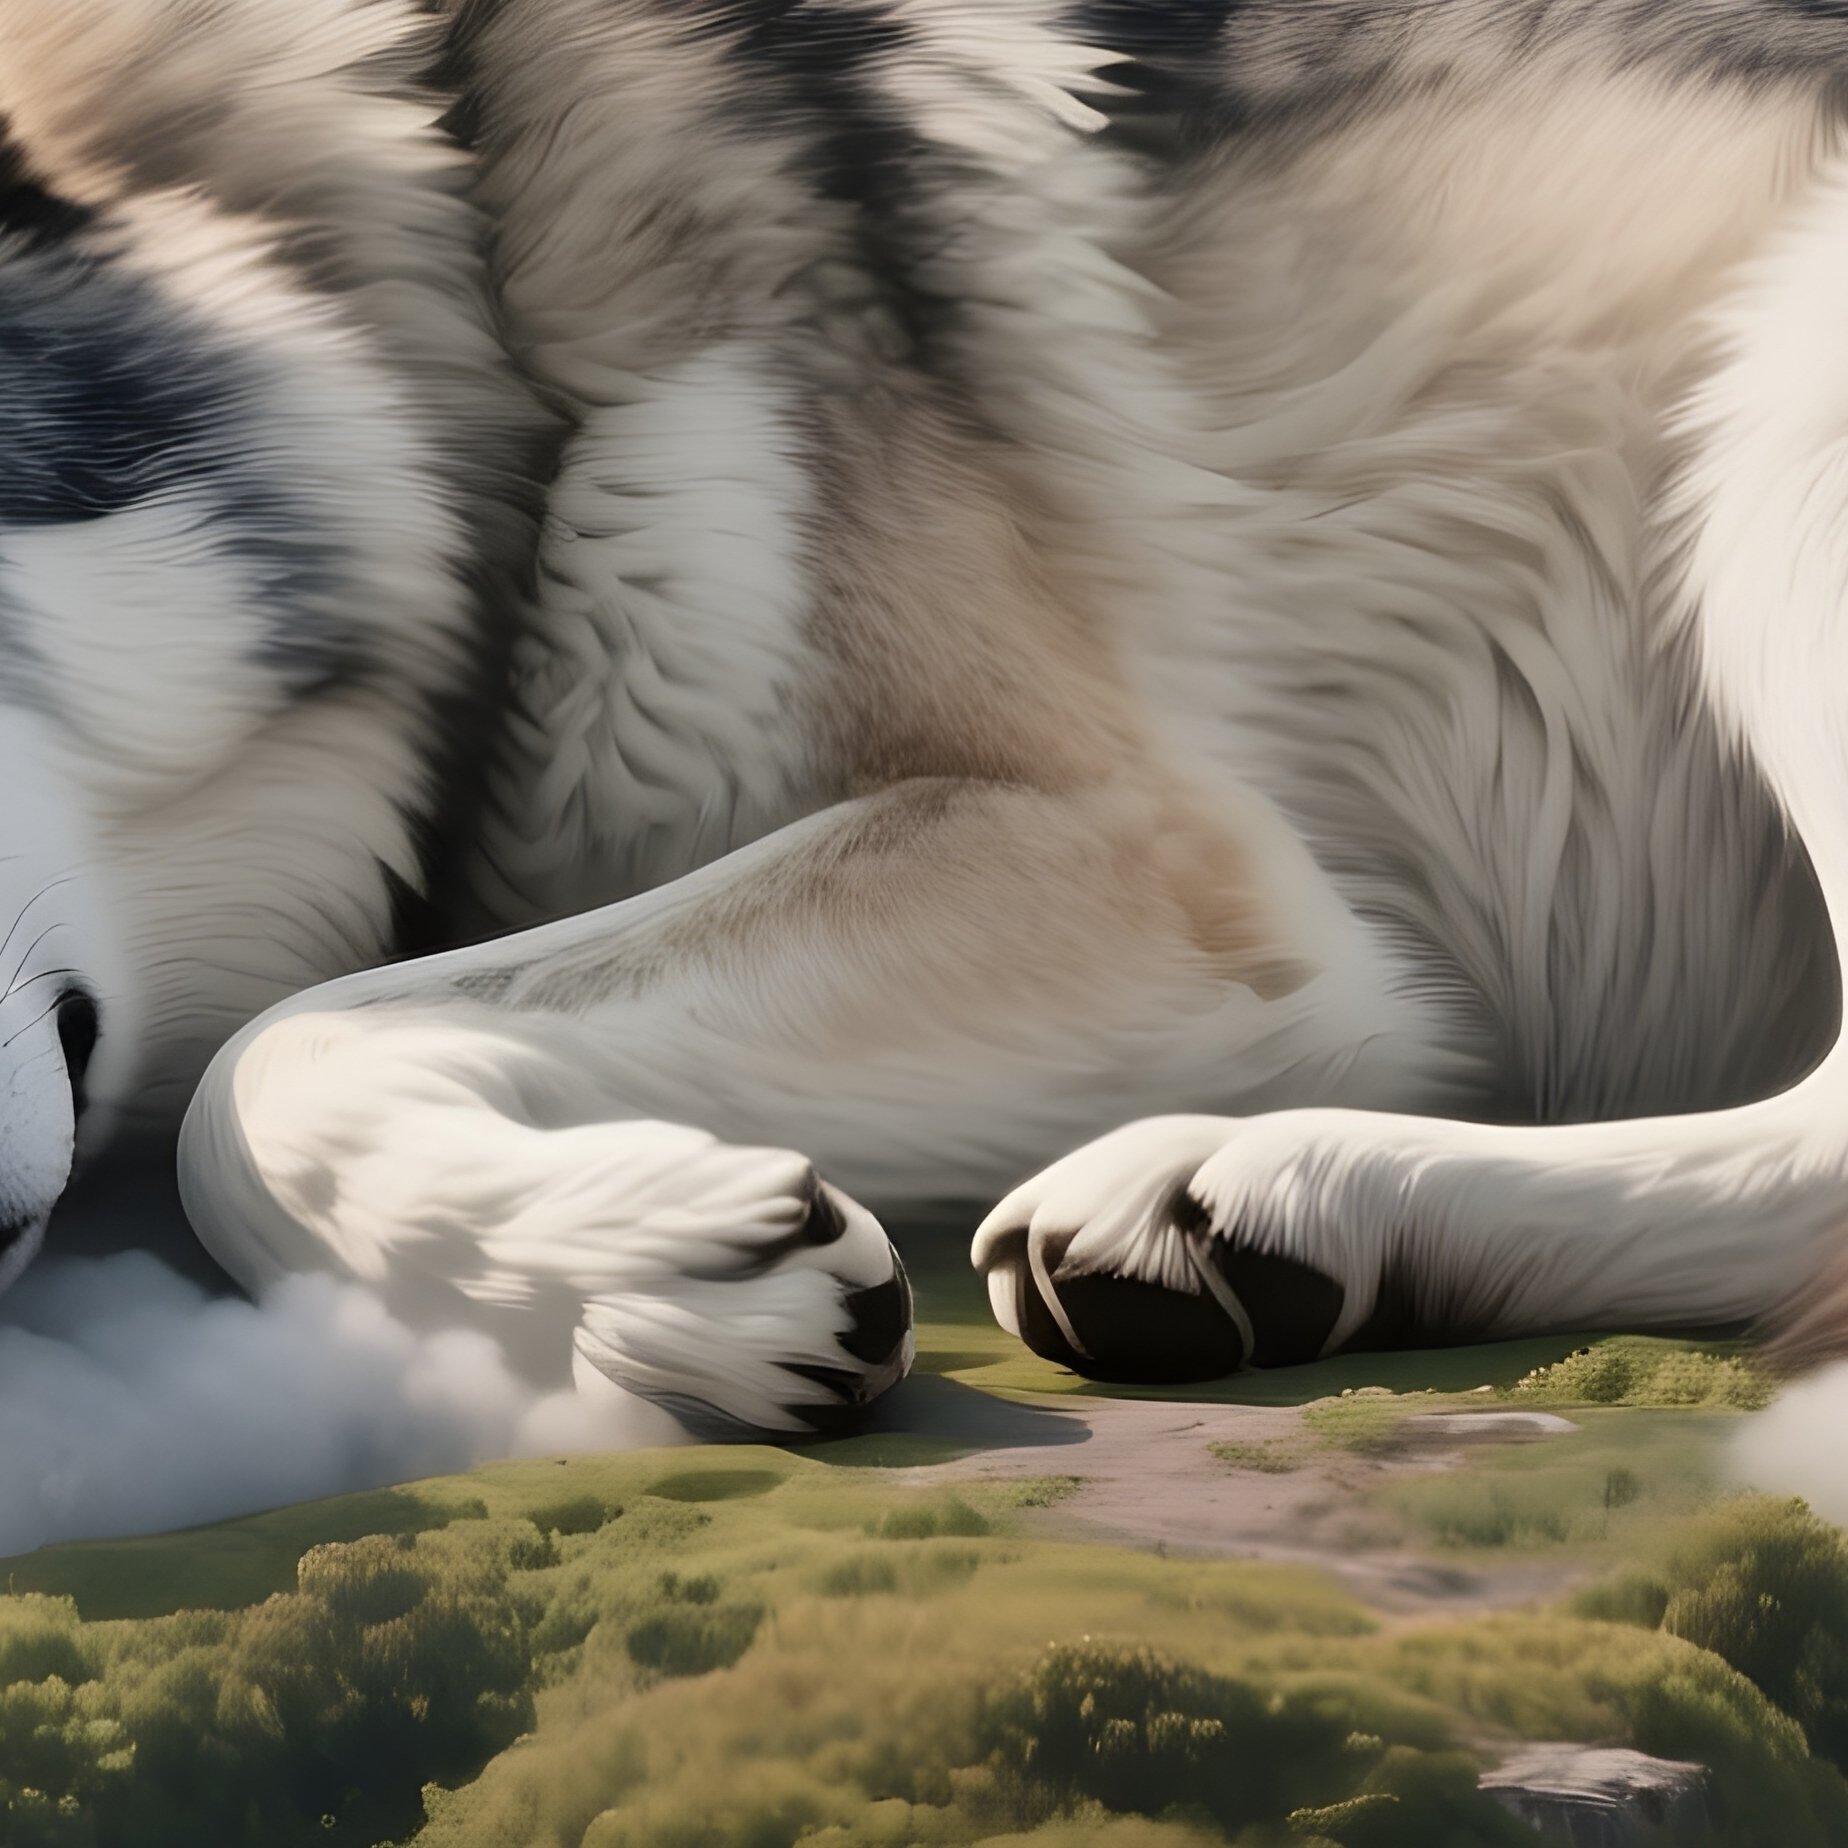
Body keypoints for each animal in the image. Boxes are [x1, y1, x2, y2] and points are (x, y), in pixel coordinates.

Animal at [6, 0, 1848, 1439]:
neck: (465, 237)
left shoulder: (1132, 851)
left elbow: (270, 1054)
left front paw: (663, 1280)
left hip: (1768, 438)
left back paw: (1262, 1184)